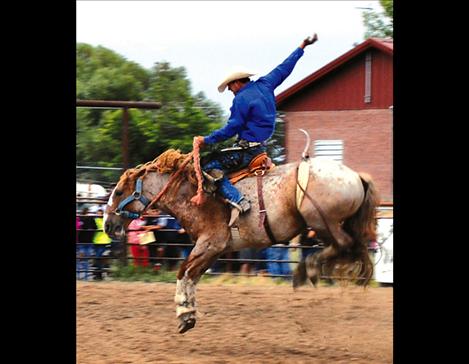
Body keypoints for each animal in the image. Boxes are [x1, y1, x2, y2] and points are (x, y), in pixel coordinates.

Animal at [104, 135, 378, 334]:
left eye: (118, 192)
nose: (107, 225)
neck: (191, 192)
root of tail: (356, 176)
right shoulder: (214, 250)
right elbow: (192, 276)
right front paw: (188, 315)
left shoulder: (210, 243)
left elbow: (183, 272)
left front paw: (183, 313)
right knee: (353, 248)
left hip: (322, 221)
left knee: (344, 245)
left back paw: (307, 269)